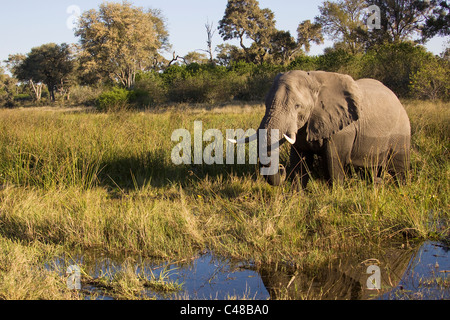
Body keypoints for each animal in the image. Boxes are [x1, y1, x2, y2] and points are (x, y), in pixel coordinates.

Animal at [232, 69, 412, 185]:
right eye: (265, 104)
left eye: (297, 106)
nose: (282, 169)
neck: (314, 80)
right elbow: (300, 160)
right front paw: (297, 197)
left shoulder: (342, 128)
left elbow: (334, 160)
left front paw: (337, 194)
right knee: (373, 168)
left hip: (401, 131)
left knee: (399, 167)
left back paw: (401, 189)